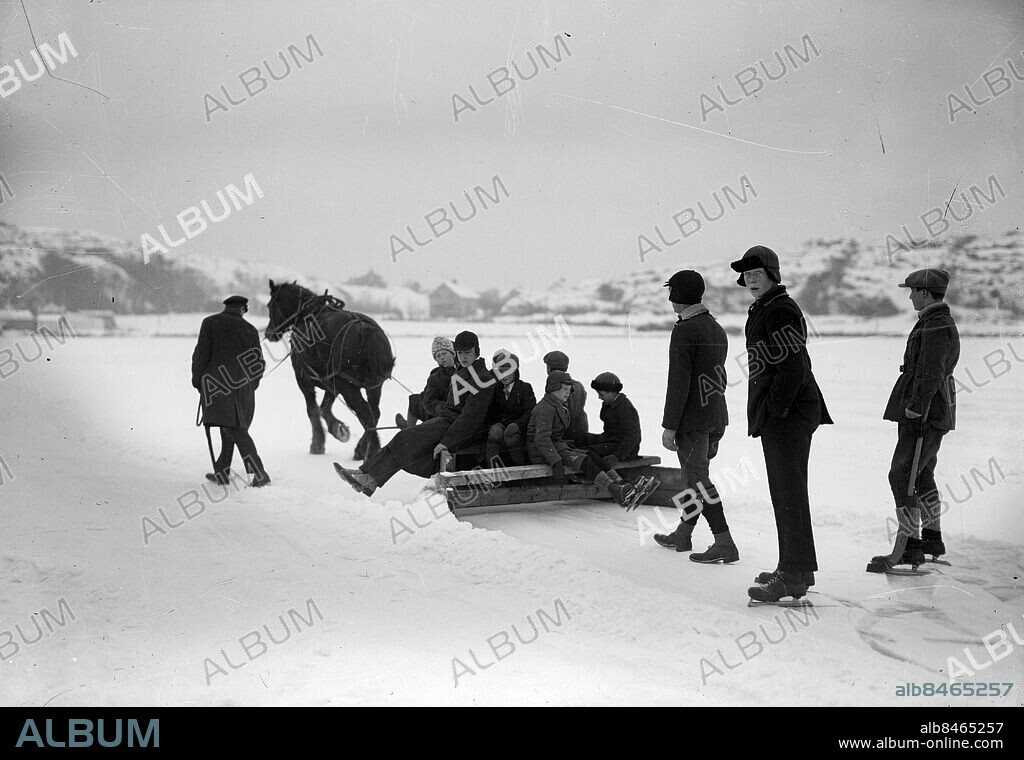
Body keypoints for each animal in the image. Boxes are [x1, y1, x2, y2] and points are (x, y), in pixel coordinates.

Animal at [265, 280, 395, 460]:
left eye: (270, 305)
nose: (268, 333)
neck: (305, 315)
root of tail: (365, 330)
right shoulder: (331, 382)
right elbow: (324, 408)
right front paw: (339, 429)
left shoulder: (304, 380)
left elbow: (313, 410)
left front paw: (318, 443)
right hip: (374, 385)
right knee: (374, 412)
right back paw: (362, 448)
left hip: (349, 387)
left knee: (366, 413)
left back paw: (370, 450)